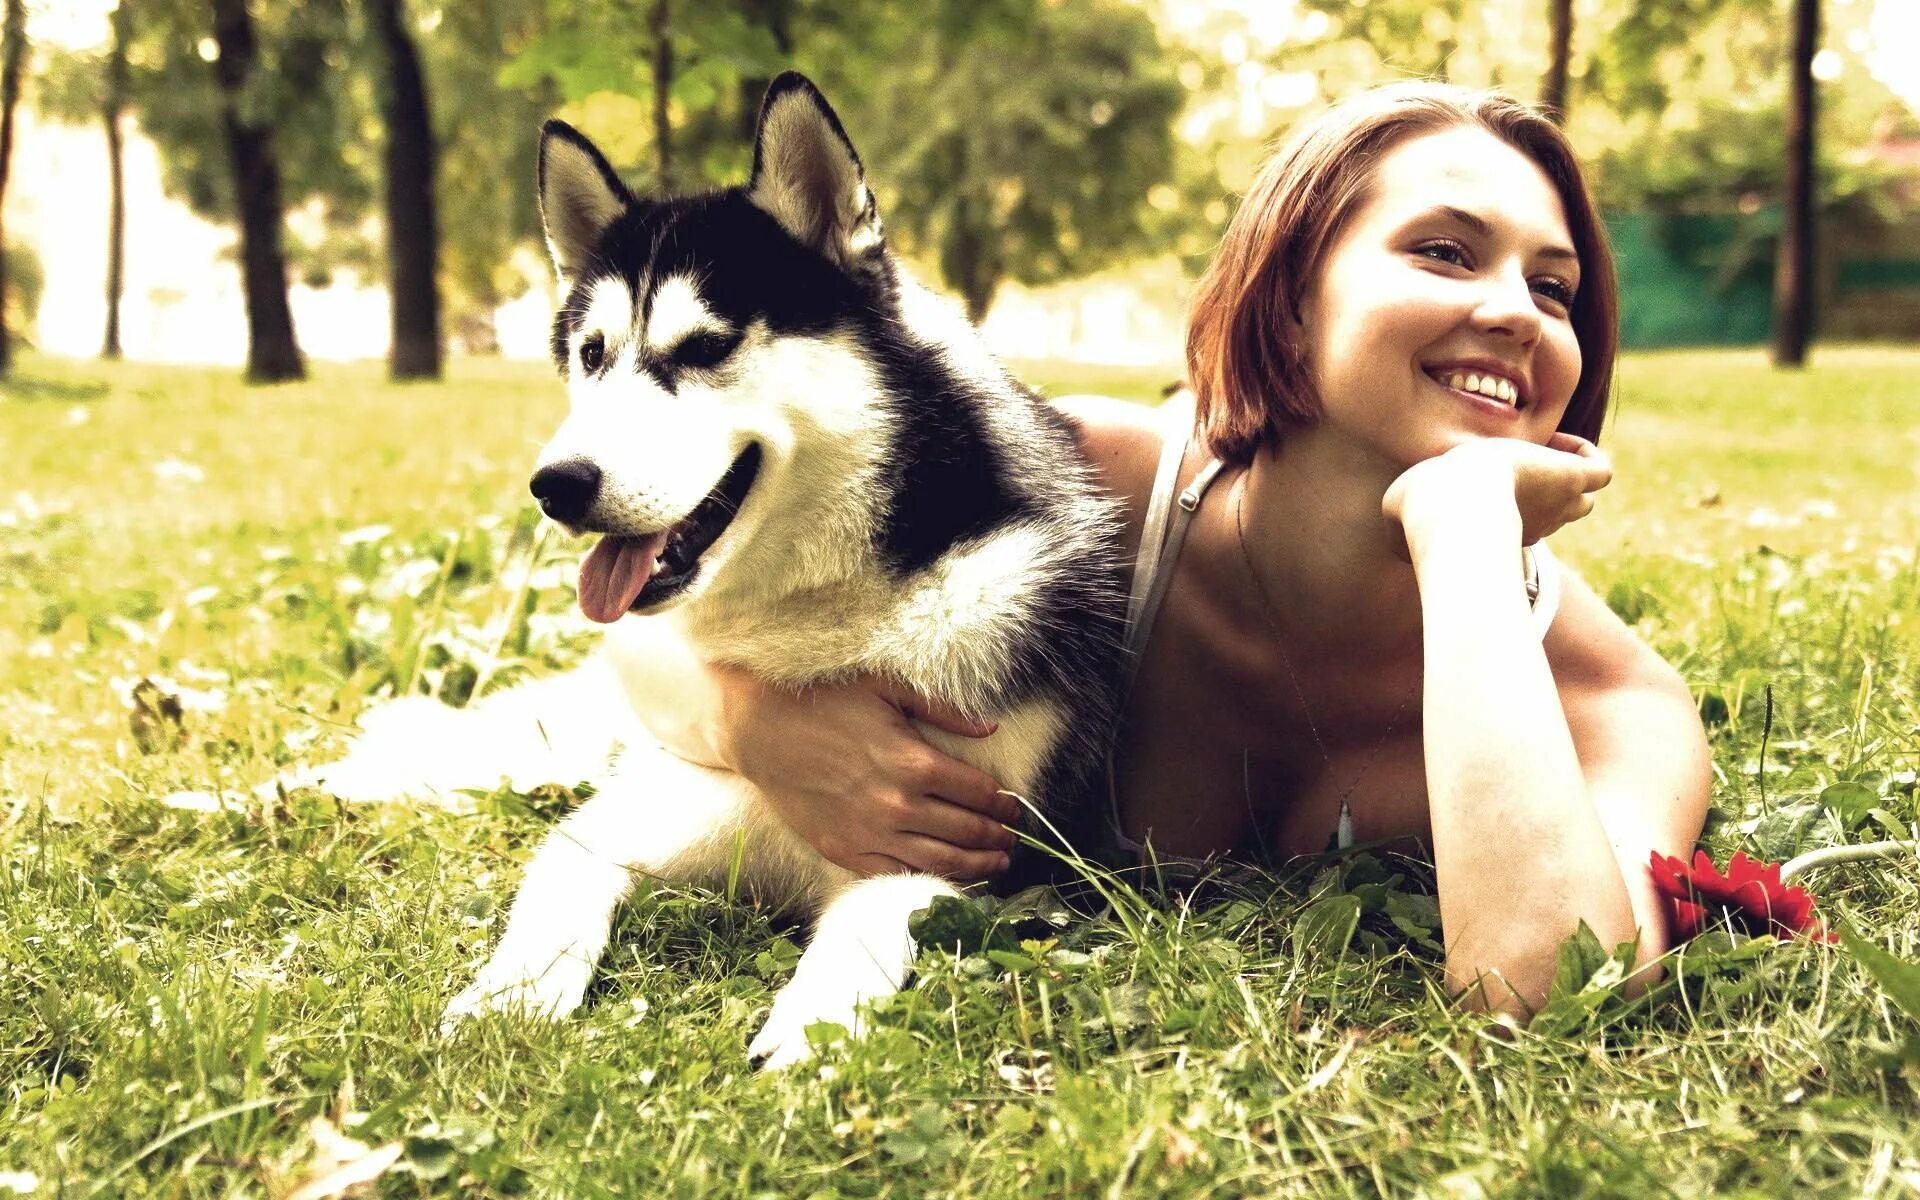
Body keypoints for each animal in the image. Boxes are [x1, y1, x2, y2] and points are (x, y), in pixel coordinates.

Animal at [312, 74, 1121, 1067]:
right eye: (591, 354)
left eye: (703, 347)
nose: (555, 484)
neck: (827, 621)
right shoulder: (618, 824)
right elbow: (554, 897)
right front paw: (510, 1000)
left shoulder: (979, 859)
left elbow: (873, 921)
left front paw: (811, 1026)